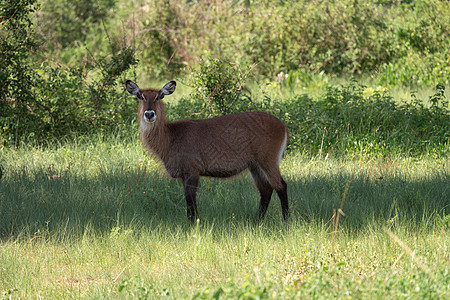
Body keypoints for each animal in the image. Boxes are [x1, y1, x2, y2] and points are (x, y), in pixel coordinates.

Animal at [125, 79, 290, 220]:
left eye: (159, 96)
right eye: (140, 96)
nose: (149, 114)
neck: (170, 137)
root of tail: (283, 126)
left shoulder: (192, 170)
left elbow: (190, 200)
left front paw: (193, 224)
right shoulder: (185, 175)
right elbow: (190, 201)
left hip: (268, 161)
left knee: (281, 186)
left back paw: (286, 220)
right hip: (254, 166)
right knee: (266, 190)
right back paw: (256, 221)